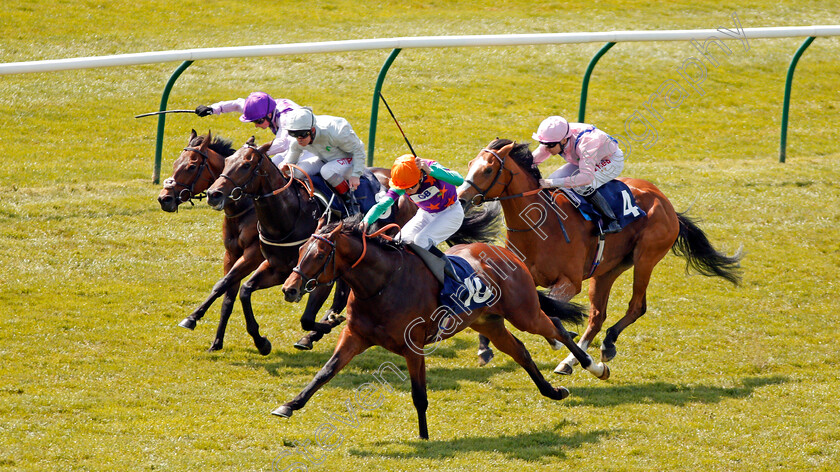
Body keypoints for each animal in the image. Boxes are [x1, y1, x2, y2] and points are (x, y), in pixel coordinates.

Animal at [276, 219, 612, 440]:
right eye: (301, 250)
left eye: (320, 255)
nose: (289, 289)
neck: (382, 284)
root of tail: (507, 253)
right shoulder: (355, 337)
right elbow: (325, 372)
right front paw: (289, 405)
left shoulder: (413, 347)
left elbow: (419, 394)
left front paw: (424, 437)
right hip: (488, 322)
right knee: (520, 351)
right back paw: (552, 391)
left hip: (524, 313)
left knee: (556, 329)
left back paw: (593, 367)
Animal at [456, 138, 740, 374]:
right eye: (470, 164)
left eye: (488, 170)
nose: (461, 199)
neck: (538, 226)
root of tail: (666, 202)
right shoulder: (515, 277)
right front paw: (485, 347)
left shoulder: (569, 282)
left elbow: (549, 307)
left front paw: (556, 336)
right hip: (606, 270)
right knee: (597, 316)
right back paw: (569, 362)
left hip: (646, 257)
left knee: (636, 306)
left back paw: (607, 344)